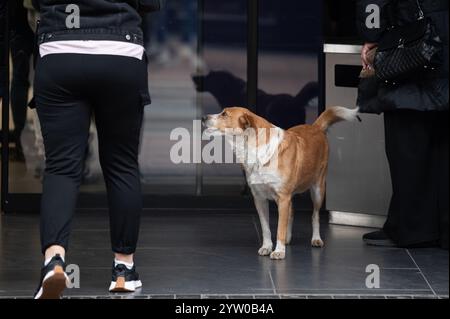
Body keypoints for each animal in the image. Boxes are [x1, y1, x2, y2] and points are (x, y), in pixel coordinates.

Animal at [202, 106, 360, 262]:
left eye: (225, 114)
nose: (203, 117)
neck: (254, 148)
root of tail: (316, 127)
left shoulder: (283, 197)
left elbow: (280, 228)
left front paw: (279, 251)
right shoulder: (260, 199)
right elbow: (266, 228)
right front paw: (267, 246)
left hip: (318, 190)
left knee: (314, 215)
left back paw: (316, 238)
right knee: (292, 212)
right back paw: (288, 238)